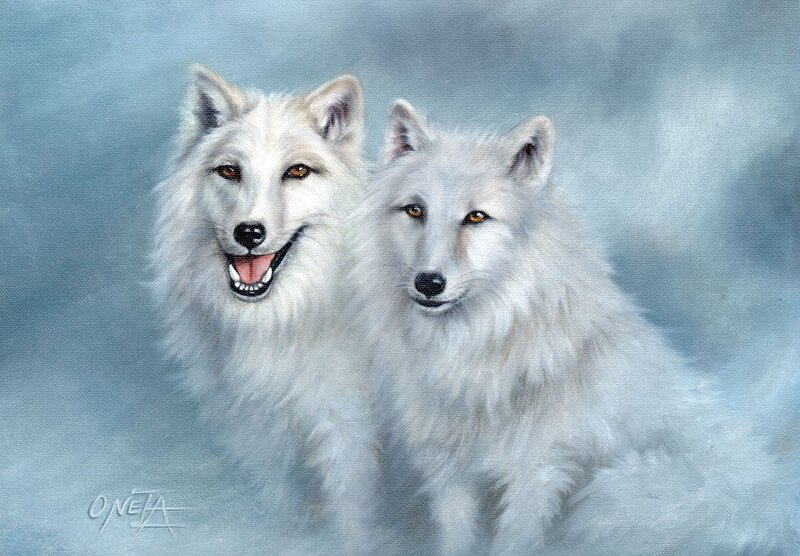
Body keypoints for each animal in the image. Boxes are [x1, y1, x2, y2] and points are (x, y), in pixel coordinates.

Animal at [153, 66, 380, 551]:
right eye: (229, 171)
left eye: (297, 171)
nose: (249, 232)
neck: (279, 320)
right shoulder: (255, 426)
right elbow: (280, 499)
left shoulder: (346, 430)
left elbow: (353, 514)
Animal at [351, 100, 796, 555]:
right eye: (415, 211)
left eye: (476, 217)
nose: (428, 283)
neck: (481, 340)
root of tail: (768, 512)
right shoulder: (451, 473)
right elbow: (457, 540)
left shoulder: (537, 473)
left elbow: (513, 543)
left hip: (613, 493)